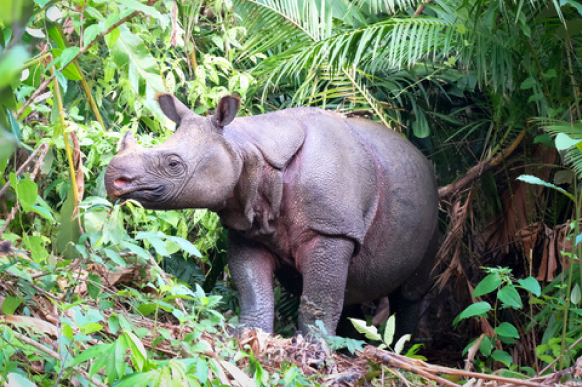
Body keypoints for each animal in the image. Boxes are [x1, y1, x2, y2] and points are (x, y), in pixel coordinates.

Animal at [106, 93, 442, 336]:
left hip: (434, 208)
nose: (113, 180)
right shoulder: (247, 226)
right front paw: (249, 337)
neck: (245, 148)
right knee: (352, 293)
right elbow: (253, 288)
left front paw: (313, 354)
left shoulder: (331, 230)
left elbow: (320, 300)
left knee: (408, 293)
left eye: (174, 164)